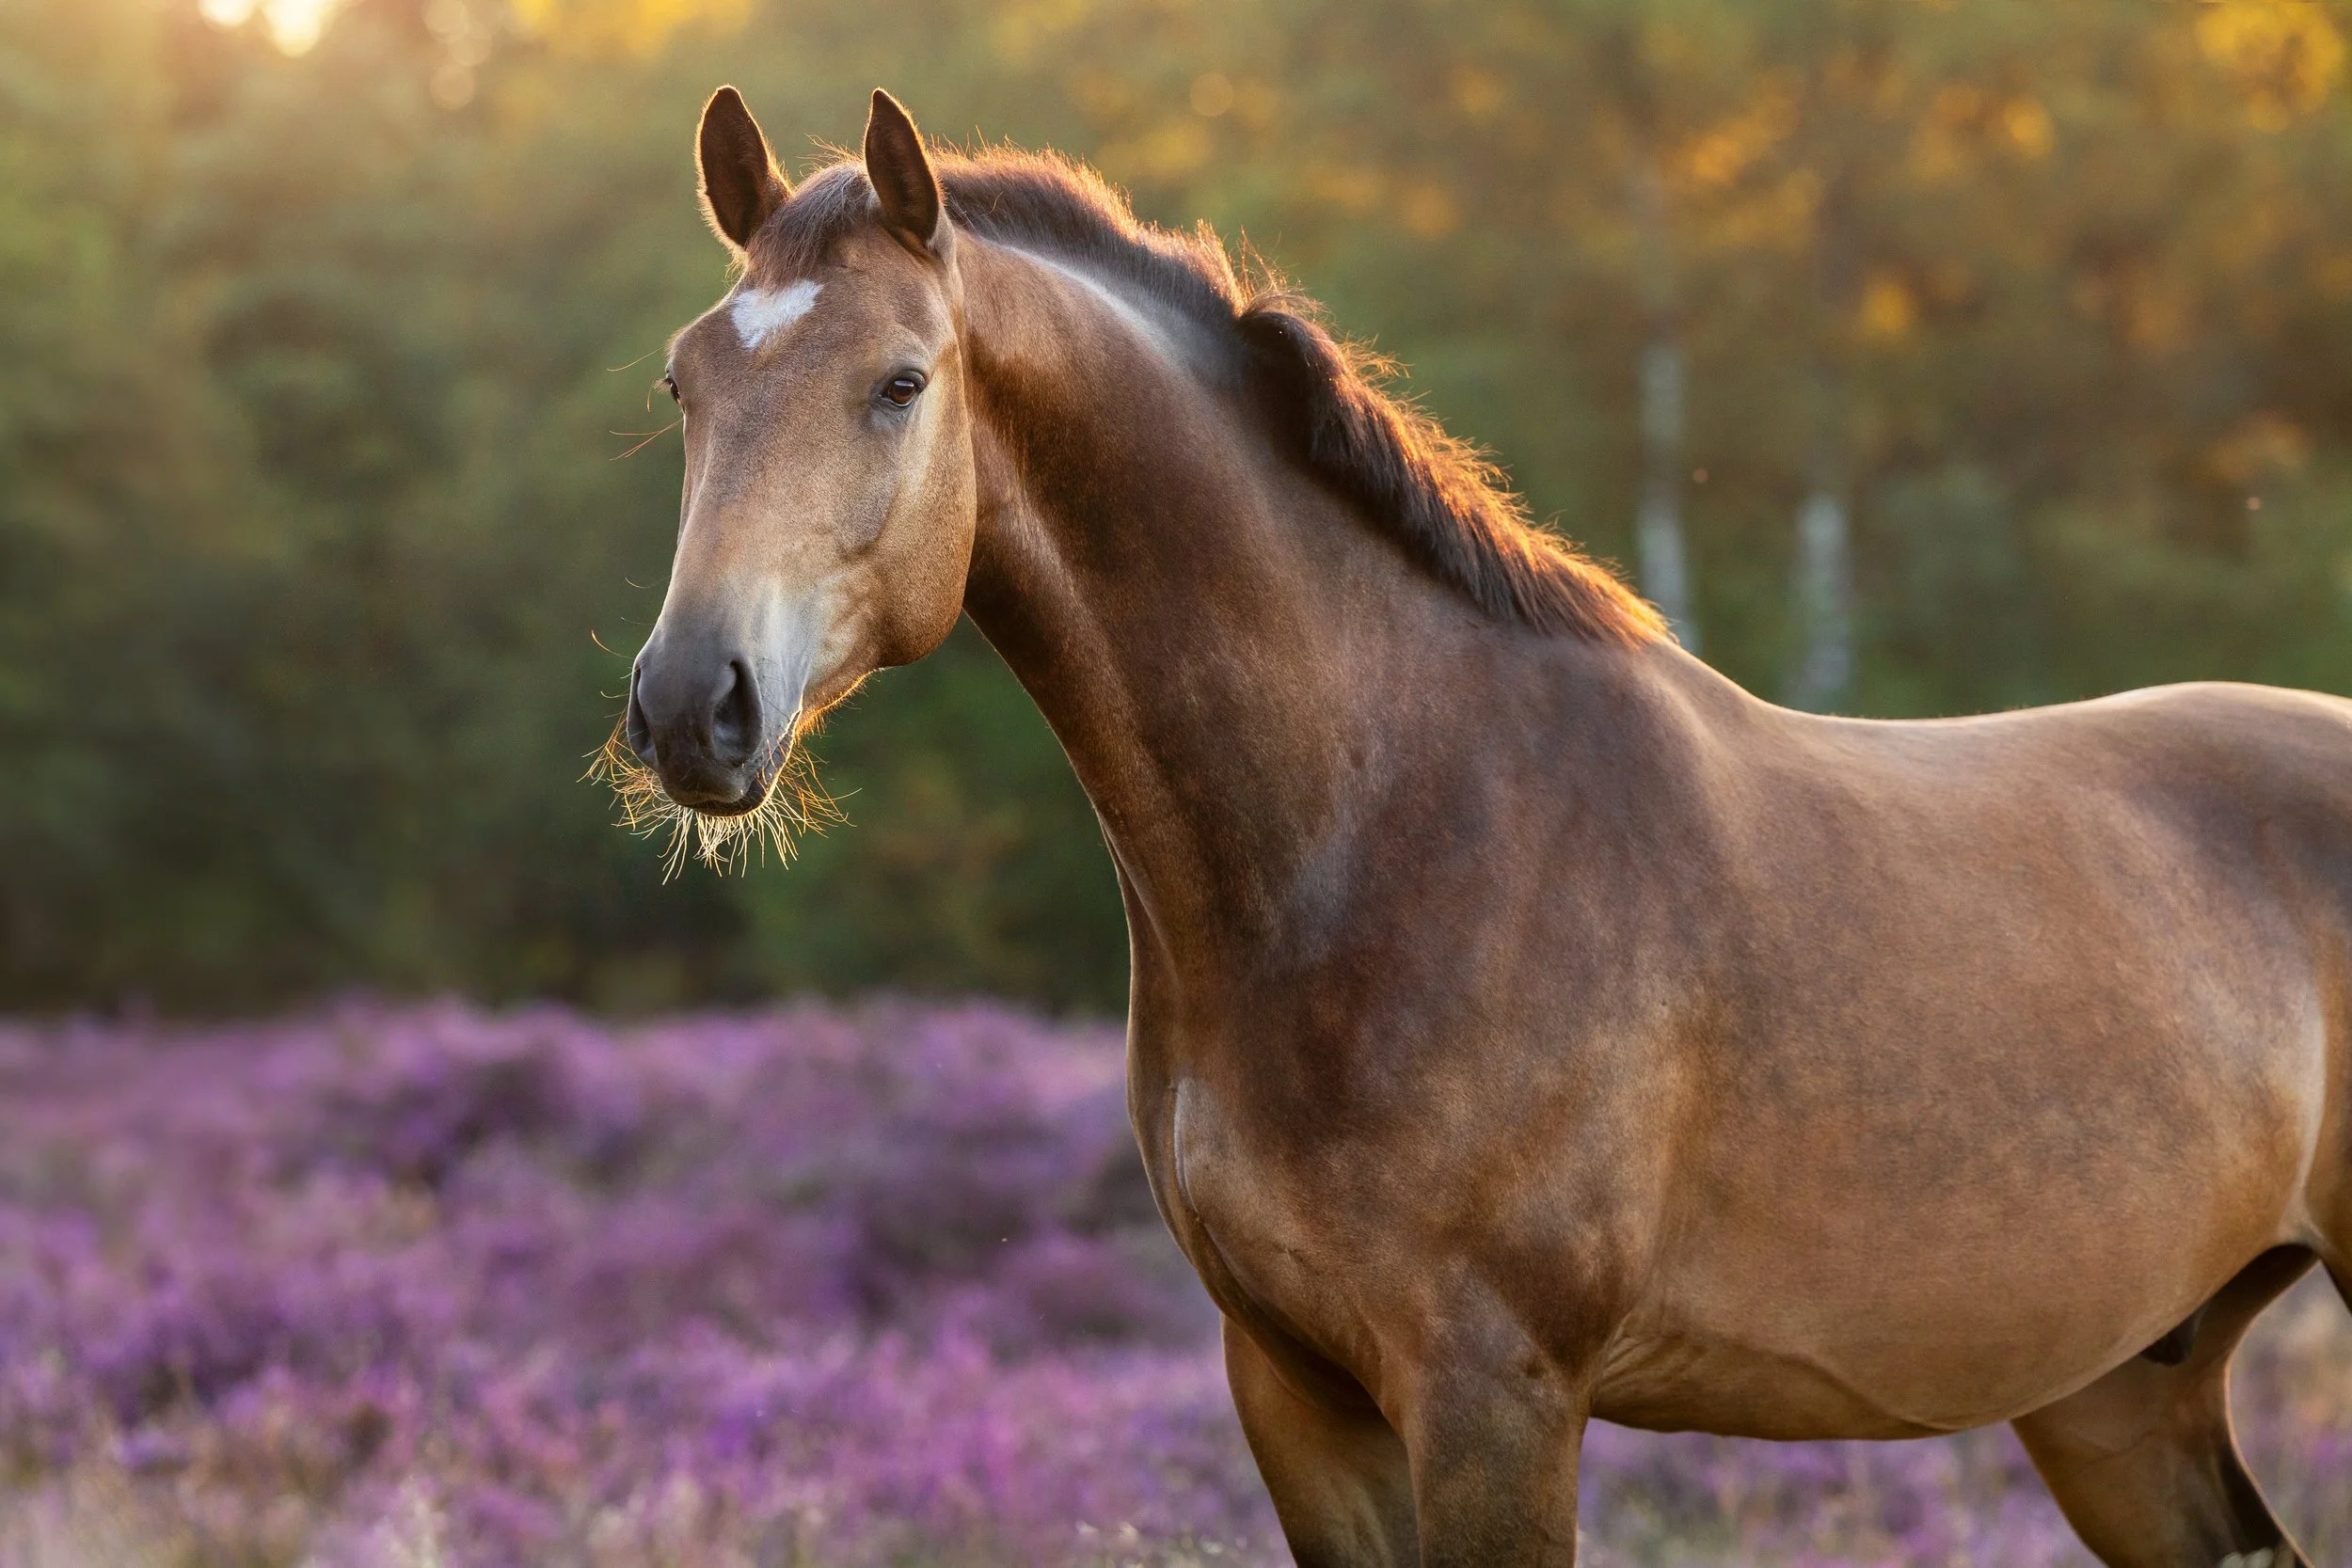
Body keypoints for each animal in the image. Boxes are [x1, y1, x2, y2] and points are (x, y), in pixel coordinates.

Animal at [614, 85, 2352, 1567]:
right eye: (686, 382)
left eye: (899, 382)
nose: (695, 706)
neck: (1382, 827)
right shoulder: (1296, 1387)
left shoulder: (1494, 1393)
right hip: (2125, 1394)